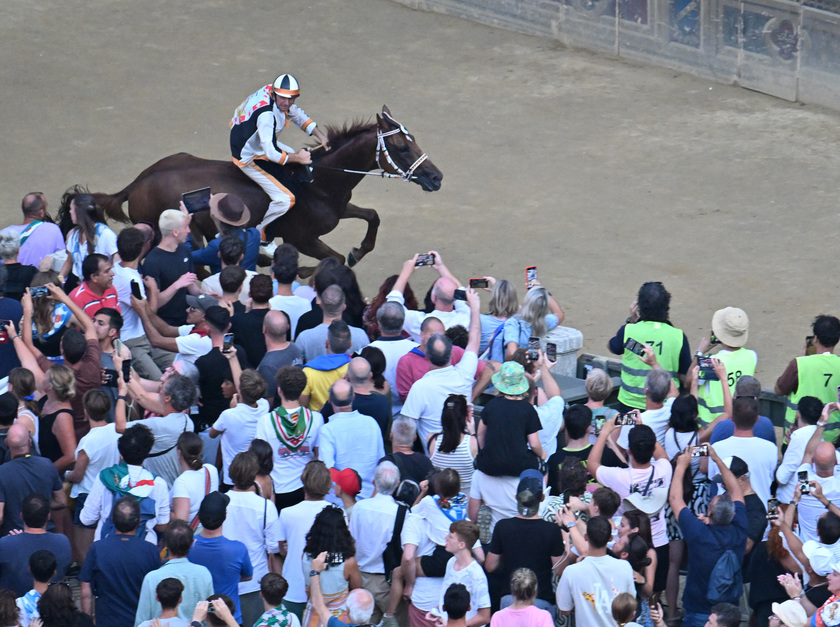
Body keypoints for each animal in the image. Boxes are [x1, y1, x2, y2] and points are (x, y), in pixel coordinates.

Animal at [92, 106, 442, 272]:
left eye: (414, 140)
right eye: (402, 147)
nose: (436, 177)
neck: (318, 182)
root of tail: (137, 183)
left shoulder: (340, 209)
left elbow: (372, 216)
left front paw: (360, 250)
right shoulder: (302, 238)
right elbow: (336, 259)